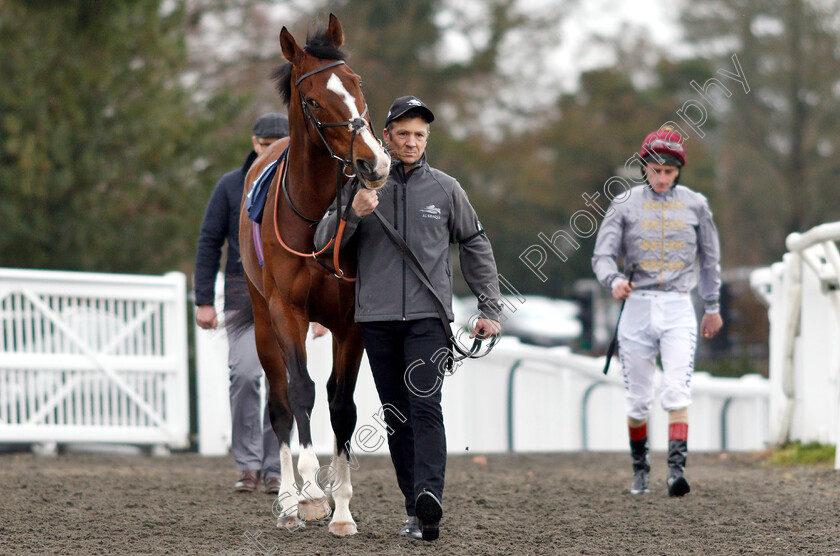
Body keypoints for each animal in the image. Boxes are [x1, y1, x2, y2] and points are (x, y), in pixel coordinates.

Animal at [236, 14, 390, 536]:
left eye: (357, 84)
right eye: (313, 99)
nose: (374, 162)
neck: (314, 217)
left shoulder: (351, 320)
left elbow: (342, 405)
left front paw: (341, 509)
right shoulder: (287, 310)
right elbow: (299, 392)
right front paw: (310, 496)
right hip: (263, 320)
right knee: (281, 405)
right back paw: (287, 499)